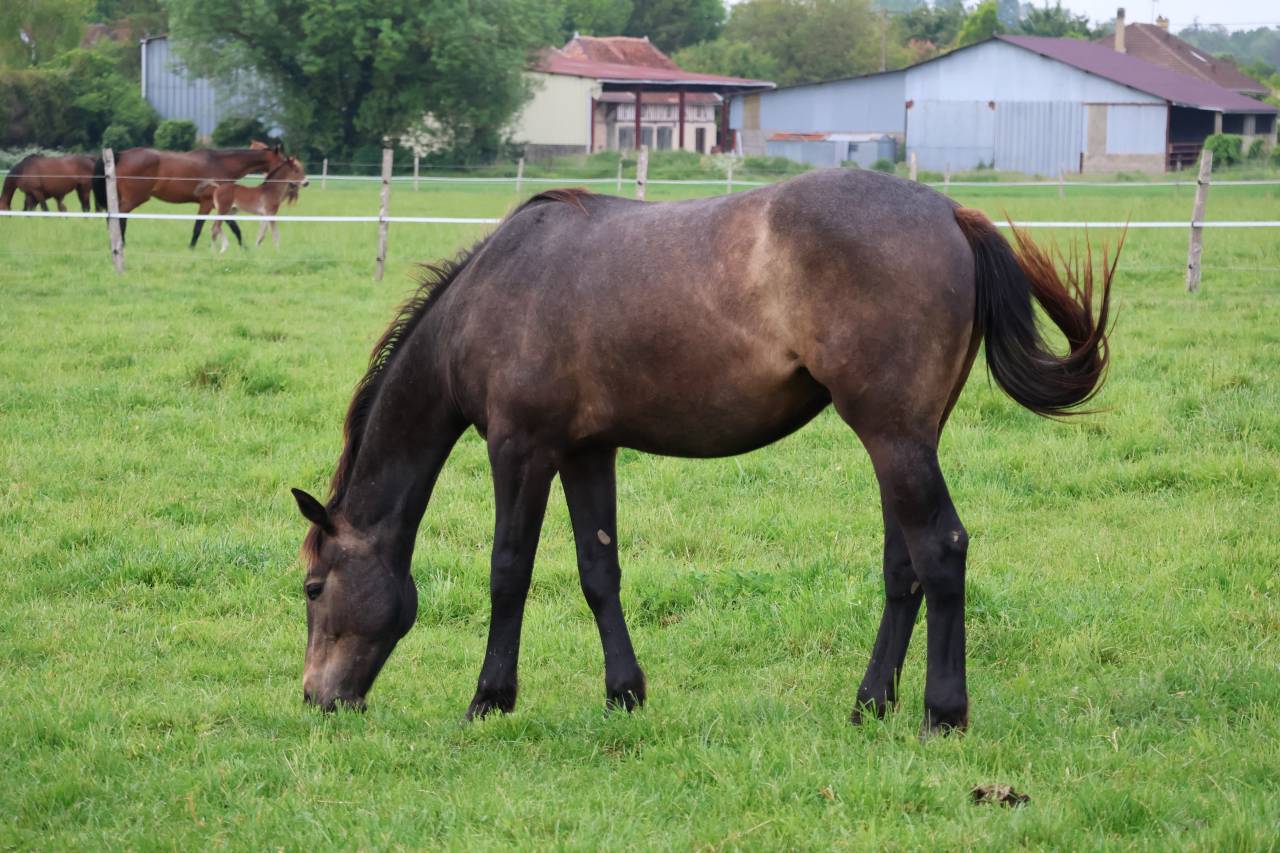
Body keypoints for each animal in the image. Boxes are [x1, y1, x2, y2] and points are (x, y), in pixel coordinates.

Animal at [91, 142, 287, 246]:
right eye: (285, 161)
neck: (221, 163)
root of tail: (121, 154)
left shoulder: (221, 205)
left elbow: (234, 228)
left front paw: (243, 248)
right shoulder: (208, 203)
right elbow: (198, 228)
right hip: (133, 199)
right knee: (118, 218)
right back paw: (120, 243)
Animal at [290, 169, 1117, 737]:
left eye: (311, 586)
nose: (316, 698)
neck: (493, 291)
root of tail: (950, 212)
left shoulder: (521, 447)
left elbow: (507, 573)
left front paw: (489, 699)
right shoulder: (587, 450)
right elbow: (598, 571)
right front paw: (624, 692)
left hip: (892, 435)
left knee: (941, 550)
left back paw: (942, 712)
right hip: (907, 438)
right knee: (904, 566)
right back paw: (869, 702)